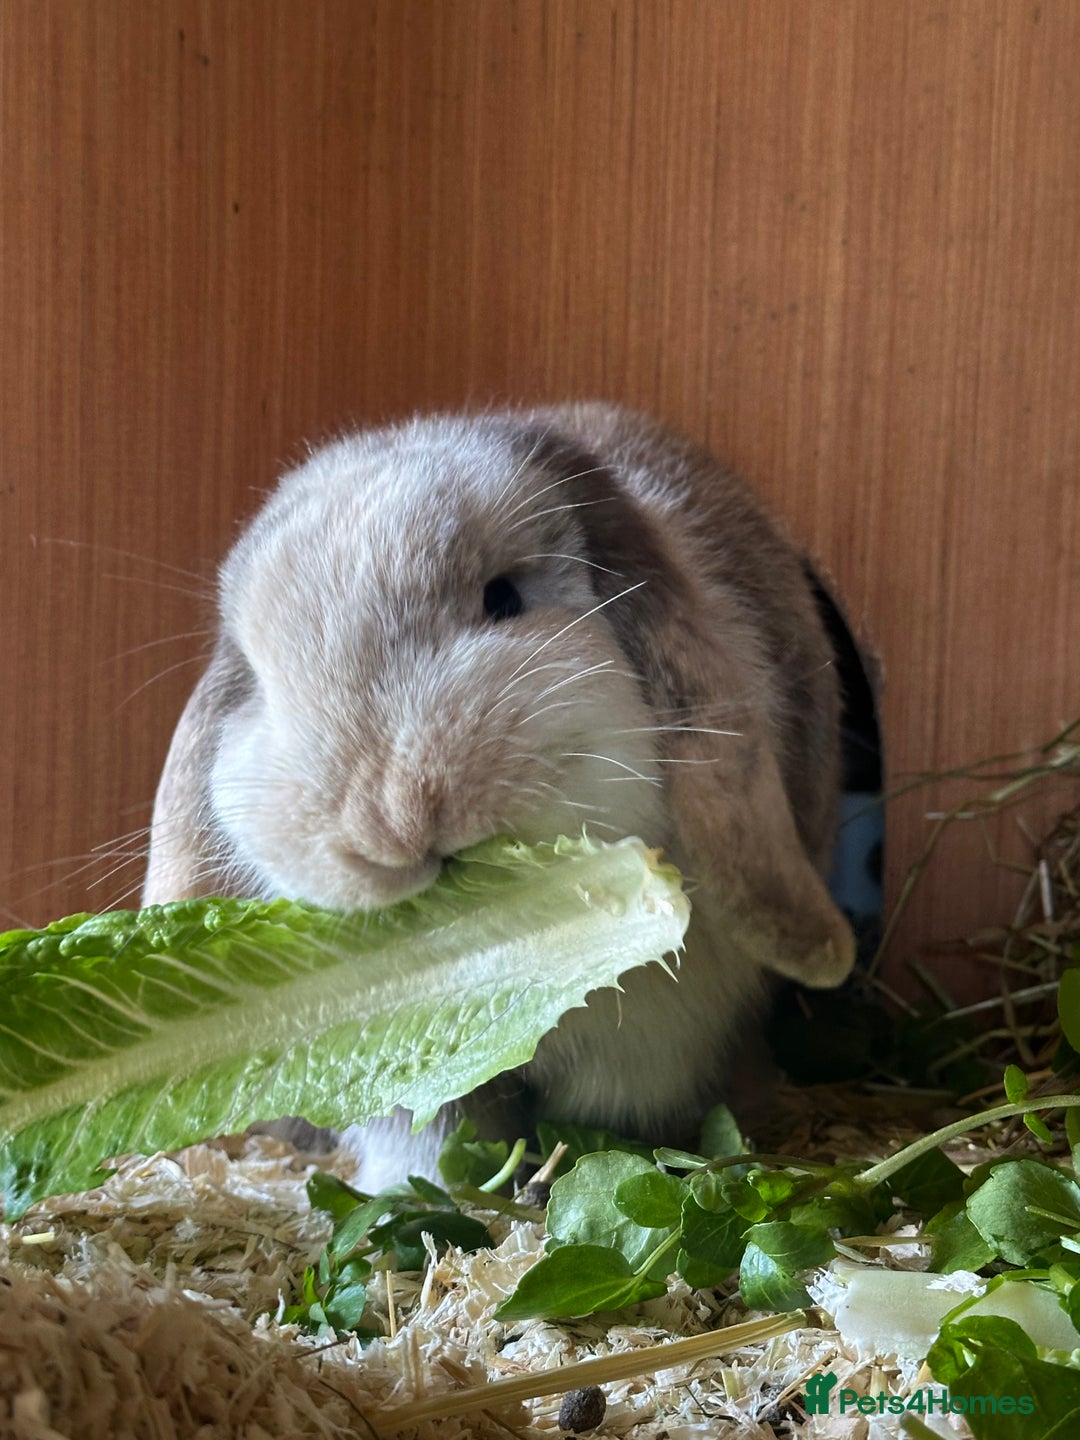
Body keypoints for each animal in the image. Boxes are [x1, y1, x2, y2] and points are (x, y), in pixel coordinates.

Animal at [143, 403, 855, 1187]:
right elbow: (430, 1138)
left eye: (505, 599)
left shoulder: (653, 1042)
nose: (390, 825)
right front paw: (428, 1190)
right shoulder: (406, 1083)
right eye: (261, 680)